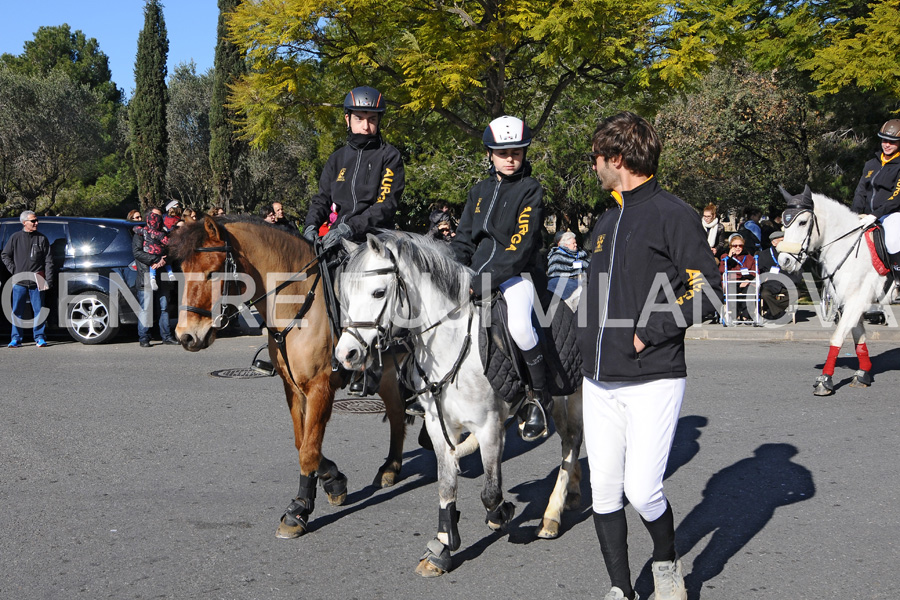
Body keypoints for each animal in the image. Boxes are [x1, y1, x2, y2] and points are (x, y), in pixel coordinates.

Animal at [169, 216, 408, 540]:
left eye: (212, 272)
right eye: (182, 270)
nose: (186, 336)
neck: (298, 305)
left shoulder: (320, 388)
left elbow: (308, 450)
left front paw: (299, 510)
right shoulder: (293, 388)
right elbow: (302, 441)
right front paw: (332, 479)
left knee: (398, 413)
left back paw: (392, 467)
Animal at [332, 233, 584, 576]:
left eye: (378, 292)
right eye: (344, 294)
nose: (346, 354)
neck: (449, 341)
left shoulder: (490, 427)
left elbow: (490, 492)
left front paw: (501, 514)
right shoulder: (440, 427)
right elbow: (446, 485)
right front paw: (443, 545)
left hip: (568, 396)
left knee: (571, 441)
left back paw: (552, 515)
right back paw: (572, 493)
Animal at [776, 185, 888, 396]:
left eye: (802, 222)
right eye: (783, 226)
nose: (784, 261)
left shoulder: (856, 301)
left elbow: (837, 337)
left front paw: (825, 380)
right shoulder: (850, 302)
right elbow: (858, 337)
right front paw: (863, 374)